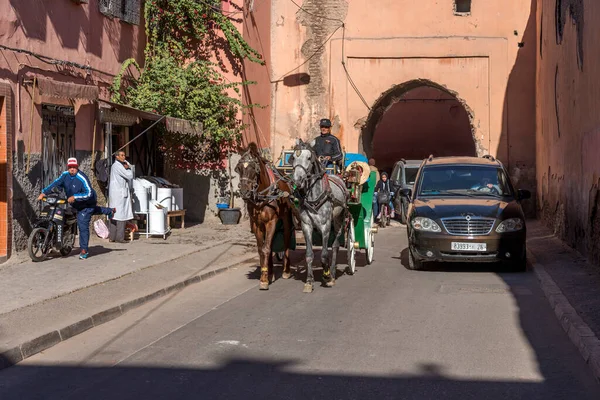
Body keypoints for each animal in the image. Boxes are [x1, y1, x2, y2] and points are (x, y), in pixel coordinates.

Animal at [237, 142, 298, 290]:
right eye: (238, 168)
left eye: (253, 168)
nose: (244, 192)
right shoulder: (257, 224)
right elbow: (262, 249)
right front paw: (266, 274)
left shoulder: (271, 221)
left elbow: (266, 248)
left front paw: (264, 279)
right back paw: (271, 271)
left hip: (285, 218)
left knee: (286, 239)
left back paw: (286, 270)